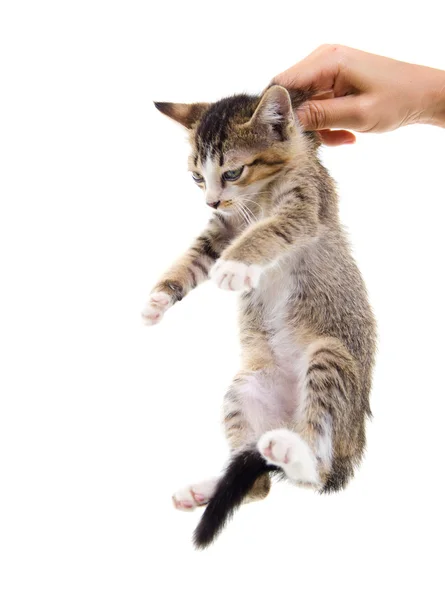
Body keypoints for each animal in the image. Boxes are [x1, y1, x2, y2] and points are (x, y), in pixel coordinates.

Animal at [145, 84, 374, 548]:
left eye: (233, 172)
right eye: (197, 177)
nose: (211, 199)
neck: (259, 195)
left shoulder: (304, 206)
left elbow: (268, 231)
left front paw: (234, 266)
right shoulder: (223, 227)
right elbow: (195, 257)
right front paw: (160, 297)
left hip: (330, 358)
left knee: (316, 474)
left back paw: (295, 453)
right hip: (245, 389)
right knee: (260, 482)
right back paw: (209, 488)